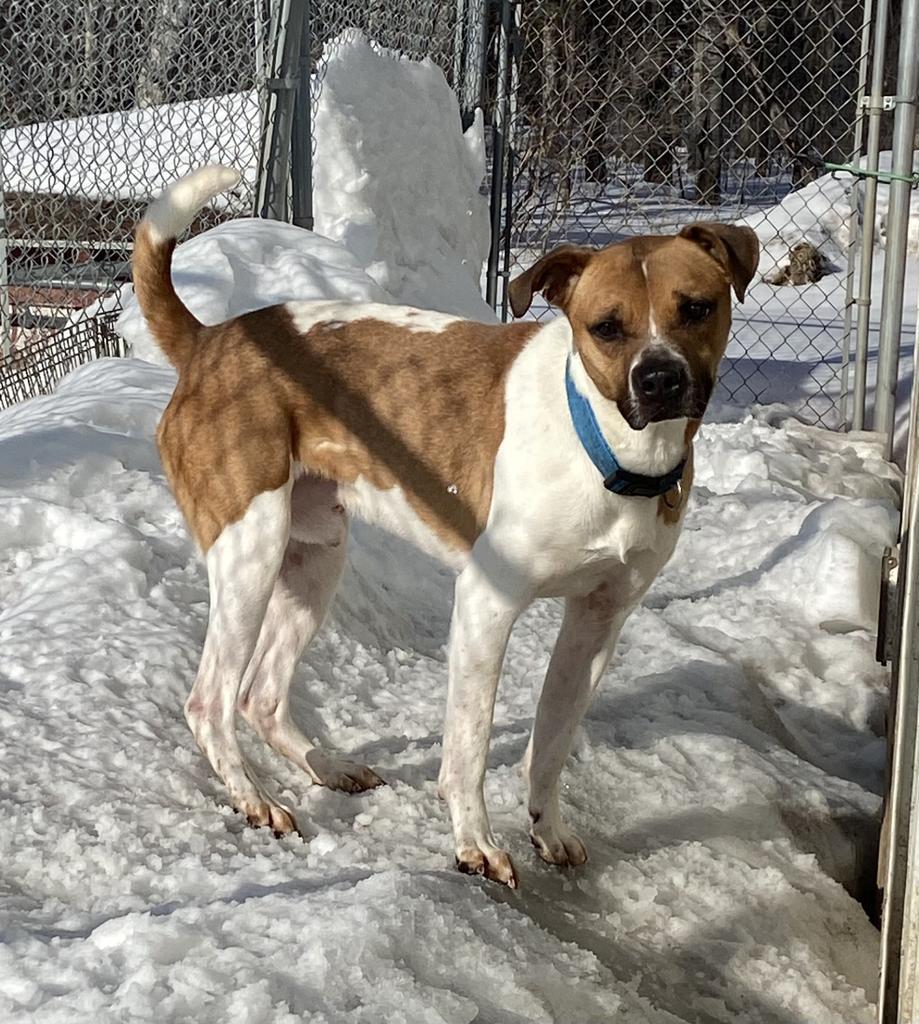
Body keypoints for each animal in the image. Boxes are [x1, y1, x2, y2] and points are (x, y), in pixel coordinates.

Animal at [131, 163, 762, 884]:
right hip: (250, 553)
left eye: (697, 308)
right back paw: (253, 798)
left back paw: (326, 766)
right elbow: (469, 744)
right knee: (209, 700)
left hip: (314, 557)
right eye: (606, 327)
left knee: (259, 694)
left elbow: (551, 741)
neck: (607, 449)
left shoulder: (598, 620)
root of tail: (210, 342)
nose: (659, 380)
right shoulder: (487, 604)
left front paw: (547, 828)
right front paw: (475, 842)